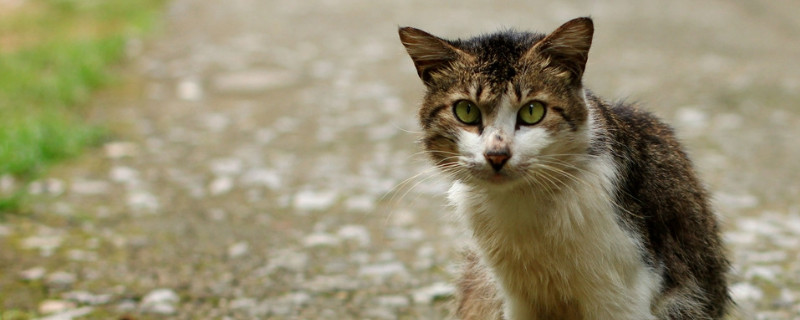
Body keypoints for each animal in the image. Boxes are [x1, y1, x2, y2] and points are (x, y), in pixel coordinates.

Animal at [398, 17, 732, 320]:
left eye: (533, 111)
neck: (520, 204)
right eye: (466, 111)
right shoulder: (515, 298)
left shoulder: (623, 294)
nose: (497, 154)